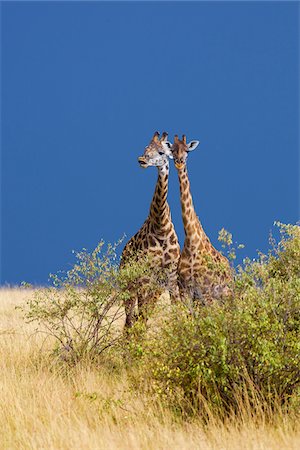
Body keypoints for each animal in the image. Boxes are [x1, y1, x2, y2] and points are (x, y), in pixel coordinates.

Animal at [121, 130, 180, 326]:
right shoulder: (145, 275)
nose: (141, 160)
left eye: (162, 152)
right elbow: (140, 315)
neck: (161, 226)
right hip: (129, 283)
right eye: (145, 148)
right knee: (130, 318)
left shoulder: (170, 276)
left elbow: (178, 310)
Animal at [168, 132, 233, 304]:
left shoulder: (206, 290)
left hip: (226, 295)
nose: (179, 162)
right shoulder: (186, 290)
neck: (191, 240)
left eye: (187, 150)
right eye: (172, 151)